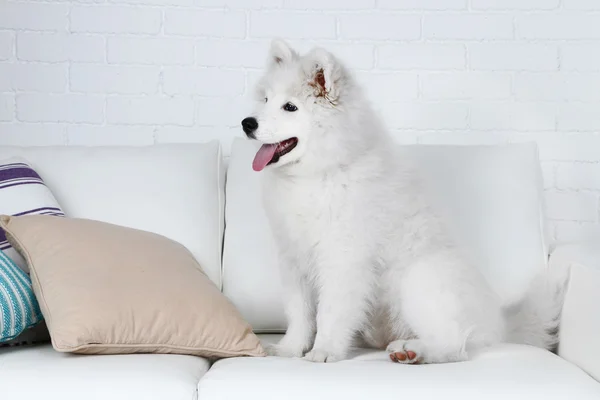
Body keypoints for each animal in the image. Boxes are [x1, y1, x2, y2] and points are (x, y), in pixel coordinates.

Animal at [240, 39, 564, 364]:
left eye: (290, 107)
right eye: (266, 99)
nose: (247, 123)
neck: (318, 174)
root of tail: (497, 326)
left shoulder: (343, 260)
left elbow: (330, 313)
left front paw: (324, 351)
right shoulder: (293, 259)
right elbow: (300, 313)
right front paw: (290, 349)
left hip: (418, 279)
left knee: (456, 346)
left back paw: (413, 352)